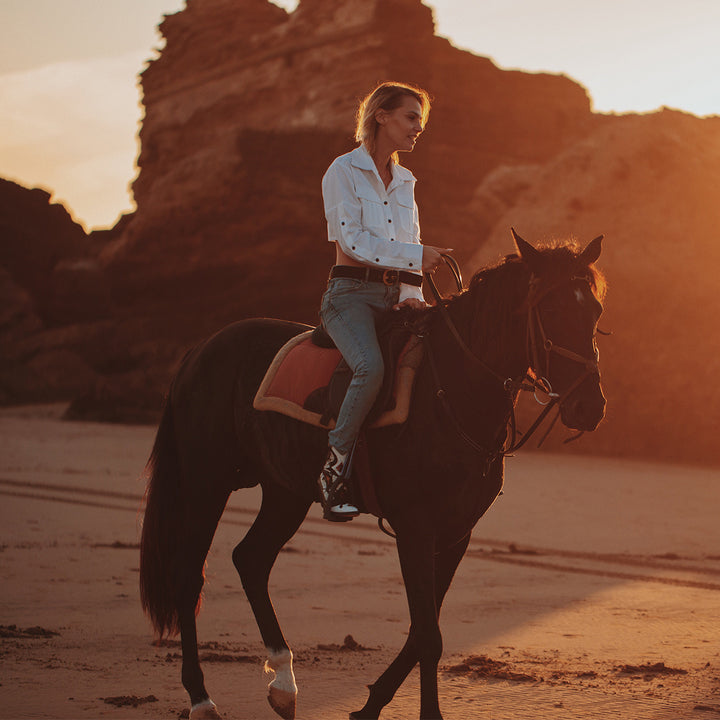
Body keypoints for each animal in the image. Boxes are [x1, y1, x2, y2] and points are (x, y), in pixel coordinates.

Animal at [138, 231, 604, 720]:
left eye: (595, 311)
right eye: (551, 310)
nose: (589, 407)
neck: (452, 388)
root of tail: (202, 349)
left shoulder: (457, 533)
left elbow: (422, 630)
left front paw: (370, 705)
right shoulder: (416, 527)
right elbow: (428, 636)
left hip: (285, 492)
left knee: (251, 559)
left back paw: (283, 683)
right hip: (205, 482)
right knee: (189, 575)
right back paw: (201, 696)